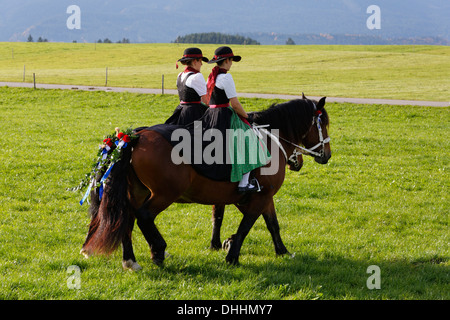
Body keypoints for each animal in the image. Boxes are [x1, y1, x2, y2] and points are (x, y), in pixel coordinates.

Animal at [81, 95, 328, 268]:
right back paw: (158, 250)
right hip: (163, 194)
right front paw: (232, 255)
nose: (327, 155)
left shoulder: (260, 197)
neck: (270, 141)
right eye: (324, 124)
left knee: (128, 218)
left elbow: (271, 224)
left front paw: (281, 251)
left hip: (137, 192)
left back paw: (130, 260)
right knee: (144, 216)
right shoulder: (260, 196)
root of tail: (134, 137)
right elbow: (246, 225)